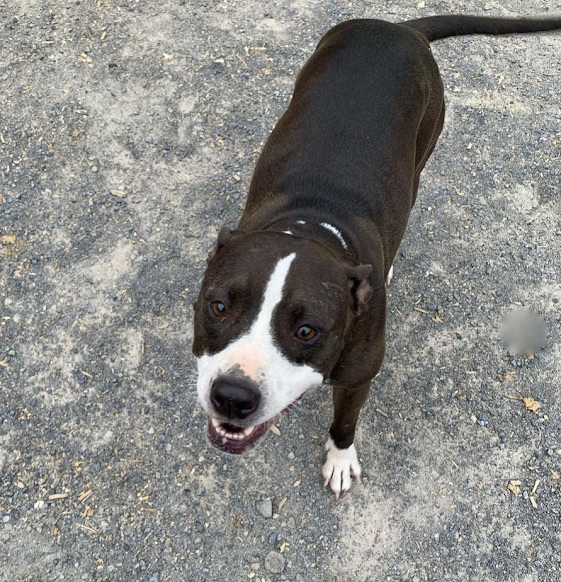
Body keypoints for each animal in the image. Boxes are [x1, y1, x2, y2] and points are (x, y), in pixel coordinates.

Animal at [191, 13, 560, 498]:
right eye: (217, 306)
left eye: (307, 330)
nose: (233, 396)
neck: (313, 226)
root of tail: (396, 25)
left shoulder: (359, 378)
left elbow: (345, 422)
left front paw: (340, 459)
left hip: (423, 154)